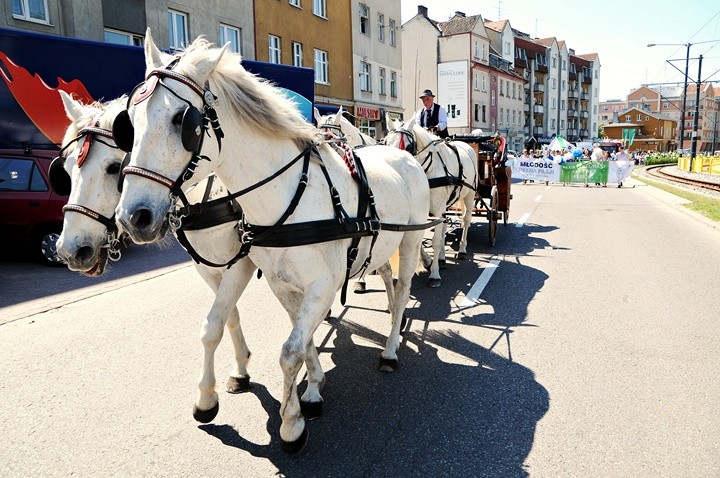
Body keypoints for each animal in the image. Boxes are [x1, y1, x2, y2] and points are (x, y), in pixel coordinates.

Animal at [54, 91, 260, 424]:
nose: (70, 250)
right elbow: (229, 316)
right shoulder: (208, 268)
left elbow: (214, 325)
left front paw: (206, 399)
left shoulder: (243, 261)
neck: (212, 193)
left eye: (113, 168)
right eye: (68, 170)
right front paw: (241, 369)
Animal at [112, 32, 428, 452]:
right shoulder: (281, 282)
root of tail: (400, 154)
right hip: (378, 246)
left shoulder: (322, 284)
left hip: (411, 240)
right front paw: (311, 390)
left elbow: (290, 351)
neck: (289, 194)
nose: (133, 216)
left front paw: (291, 424)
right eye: (129, 123)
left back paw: (391, 347)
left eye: (183, 120)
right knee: (388, 280)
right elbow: (300, 337)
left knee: (405, 284)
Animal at [382, 116, 478, 288]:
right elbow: (422, 240)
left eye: (408, 146)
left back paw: (462, 249)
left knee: (466, 221)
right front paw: (428, 261)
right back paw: (442, 258)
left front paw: (434, 274)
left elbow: (435, 241)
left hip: (469, 195)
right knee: (445, 226)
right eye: (385, 143)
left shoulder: (438, 209)